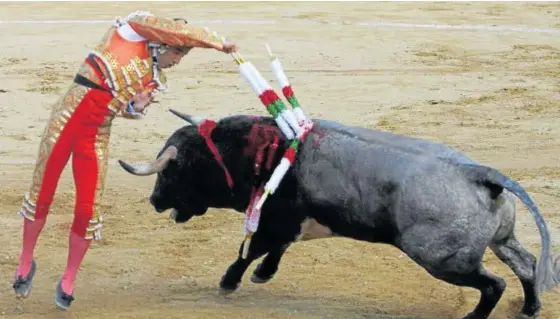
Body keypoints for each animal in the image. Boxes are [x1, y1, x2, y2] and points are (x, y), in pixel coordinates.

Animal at [116, 110, 556, 319]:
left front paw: (229, 283)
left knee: (494, 283)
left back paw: (474, 316)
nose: (155, 201)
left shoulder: (275, 219)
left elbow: (249, 249)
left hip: (441, 259)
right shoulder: (289, 224)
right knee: (526, 264)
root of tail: (480, 173)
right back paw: (530, 308)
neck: (259, 151)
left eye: (171, 171)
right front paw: (262, 275)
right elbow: (275, 249)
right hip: (501, 240)